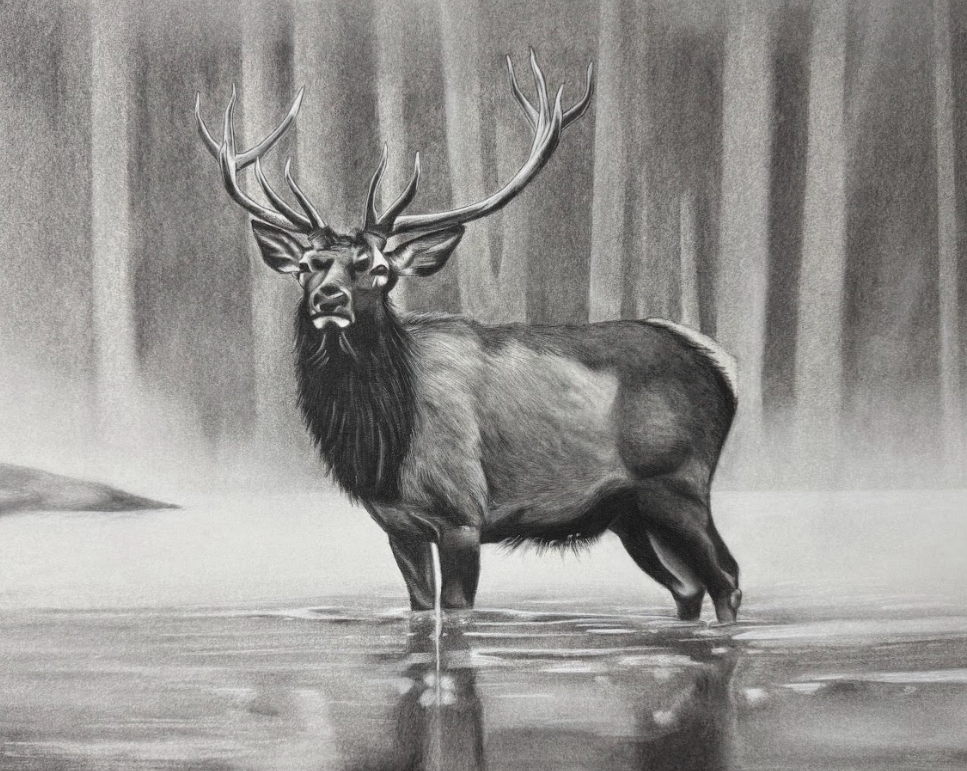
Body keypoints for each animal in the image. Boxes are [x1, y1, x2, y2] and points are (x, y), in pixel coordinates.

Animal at [196, 51, 742, 623]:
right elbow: (419, 608)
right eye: (306, 266)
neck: (383, 447)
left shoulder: (462, 514)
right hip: (629, 512)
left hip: (677, 483)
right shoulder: (399, 524)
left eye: (379, 268)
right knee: (687, 586)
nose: (329, 299)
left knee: (725, 577)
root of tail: (721, 367)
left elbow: (457, 611)